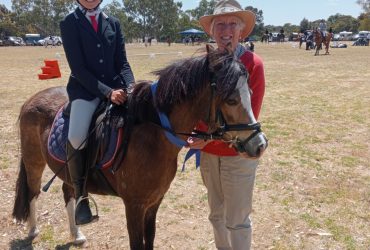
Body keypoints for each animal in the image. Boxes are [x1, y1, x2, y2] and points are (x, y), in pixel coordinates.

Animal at [11, 46, 266, 249]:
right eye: (231, 100)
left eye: (251, 93)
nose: (260, 144)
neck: (153, 133)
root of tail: (31, 99)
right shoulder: (134, 206)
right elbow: (137, 243)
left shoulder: (154, 201)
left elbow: (149, 239)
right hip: (34, 162)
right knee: (33, 192)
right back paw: (33, 231)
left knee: (68, 191)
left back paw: (77, 233)